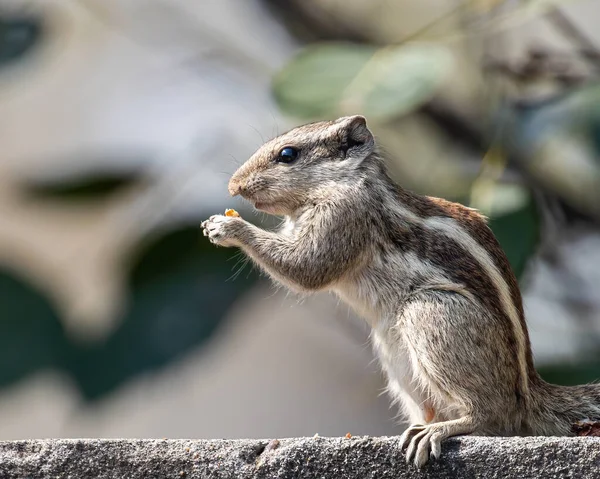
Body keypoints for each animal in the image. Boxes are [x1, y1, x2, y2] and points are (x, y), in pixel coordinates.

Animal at [200, 114, 600, 466]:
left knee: (494, 417)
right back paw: (415, 429)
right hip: (394, 353)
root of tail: (528, 391)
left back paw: (441, 430)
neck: (344, 183)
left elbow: (307, 268)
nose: (234, 186)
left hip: (429, 312)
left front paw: (229, 227)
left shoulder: (344, 217)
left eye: (287, 154)